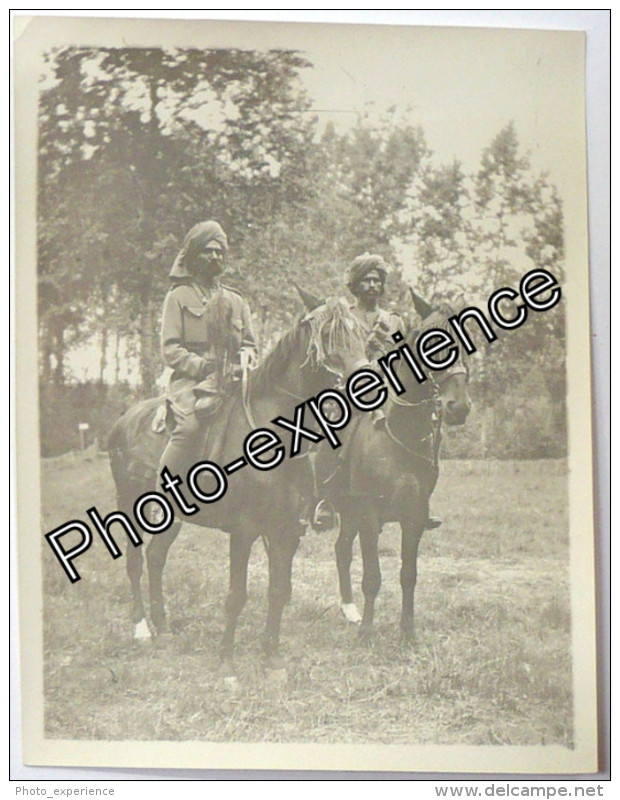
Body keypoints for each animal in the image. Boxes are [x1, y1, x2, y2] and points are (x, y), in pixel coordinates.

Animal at [318, 296, 472, 640]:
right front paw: (366, 632)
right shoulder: (369, 514)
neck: (401, 432)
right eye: (431, 340)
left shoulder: (413, 517)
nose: (458, 407)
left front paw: (407, 633)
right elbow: (373, 577)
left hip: (350, 514)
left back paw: (349, 610)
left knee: (341, 549)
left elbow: (408, 575)